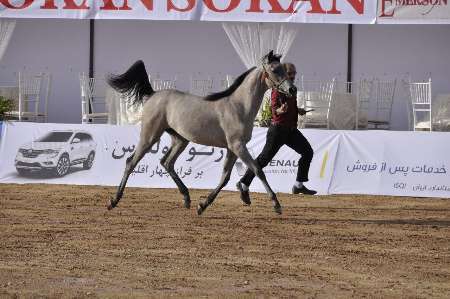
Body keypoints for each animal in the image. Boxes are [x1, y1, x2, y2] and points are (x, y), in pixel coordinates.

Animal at [105, 51, 296, 216]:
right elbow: (258, 169)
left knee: (167, 162)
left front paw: (202, 205)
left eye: (284, 69)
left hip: (180, 140)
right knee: (131, 162)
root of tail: (153, 95)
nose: (292, 89)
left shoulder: (232, 148)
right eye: (274, 70)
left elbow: (225, 178)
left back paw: (187, 198)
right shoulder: (238, 146)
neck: (238, 107)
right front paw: (276, 205)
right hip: (150, 136)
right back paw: (113, 201)